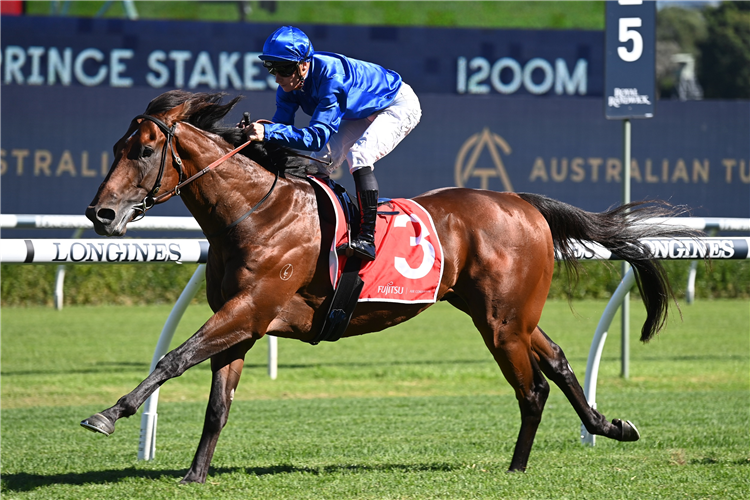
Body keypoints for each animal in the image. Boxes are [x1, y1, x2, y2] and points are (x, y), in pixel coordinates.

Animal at [85, 91, 692, 484]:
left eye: (143, 151)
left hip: (502, 323)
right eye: (114, 146)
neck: (254, 212)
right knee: (559, 361)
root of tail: (522, 202)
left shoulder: (250, 308)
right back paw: (610, 426)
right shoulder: (243, 321)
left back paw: (519, 466)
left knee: (533, 388)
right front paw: (194, 474)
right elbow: (217, 403)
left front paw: (108, 414)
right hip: (508, 315)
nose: (100, 213)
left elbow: (174, 357)